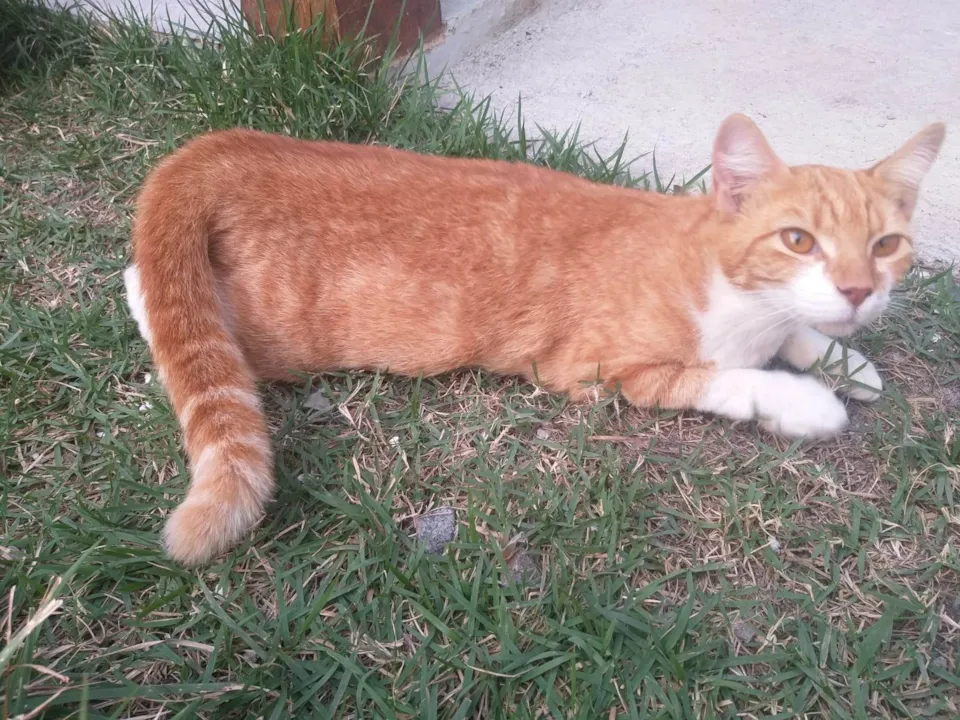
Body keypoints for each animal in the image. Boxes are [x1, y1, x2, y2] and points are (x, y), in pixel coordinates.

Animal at [124, 114, 945, 566]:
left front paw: (846, 358)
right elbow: (725, 376)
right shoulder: (602, 371)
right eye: (797, 239)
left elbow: (802, 334)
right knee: (157, 296)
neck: (721, 279)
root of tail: (231, 148)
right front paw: (806, 403)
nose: (858, 290)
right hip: (271, 331)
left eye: (886, 246)